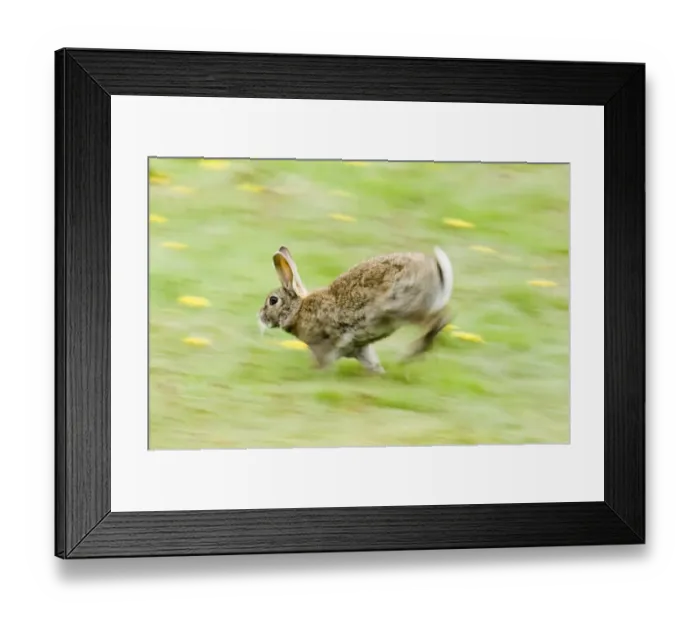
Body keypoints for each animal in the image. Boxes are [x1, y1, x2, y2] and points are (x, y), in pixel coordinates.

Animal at [257, 246, 454, 373]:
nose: (260, 316)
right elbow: (371, 362)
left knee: (437, 320)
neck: (298, 310)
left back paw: (411, 354)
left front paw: (316, 373)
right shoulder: (359, 348)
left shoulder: (323, 345)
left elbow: (322, 362)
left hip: (400, 307)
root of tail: (437, 270)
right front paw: (379, 375)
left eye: (273, 300)